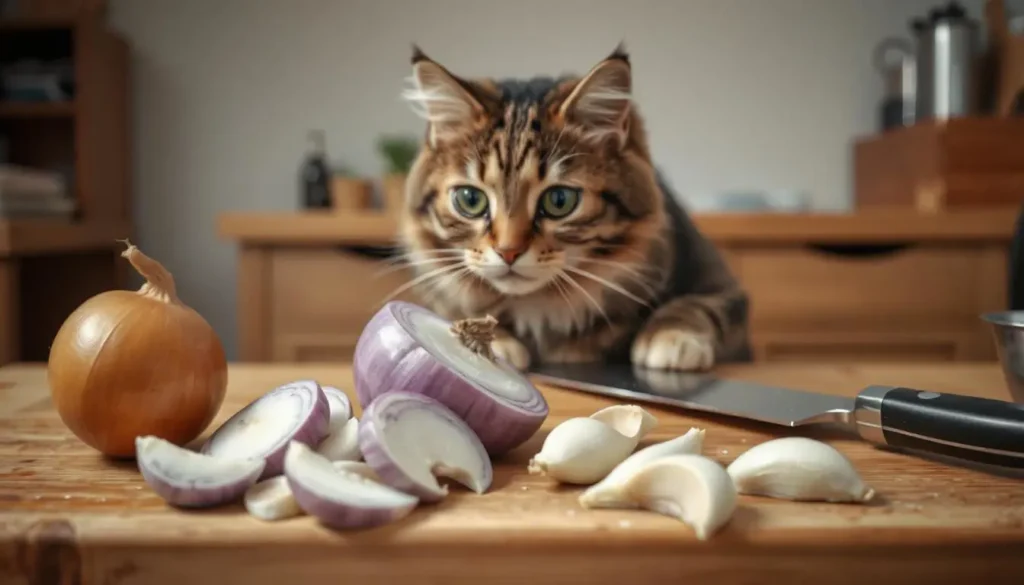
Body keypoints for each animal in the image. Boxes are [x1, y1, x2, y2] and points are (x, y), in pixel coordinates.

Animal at [395, 44, 749, 370]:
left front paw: (672, 337)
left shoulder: (724, 289)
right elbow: (455, 308)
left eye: (559, 201)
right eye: (471, 200)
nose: (508, 252)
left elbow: (693, 306)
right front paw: (487, 338)